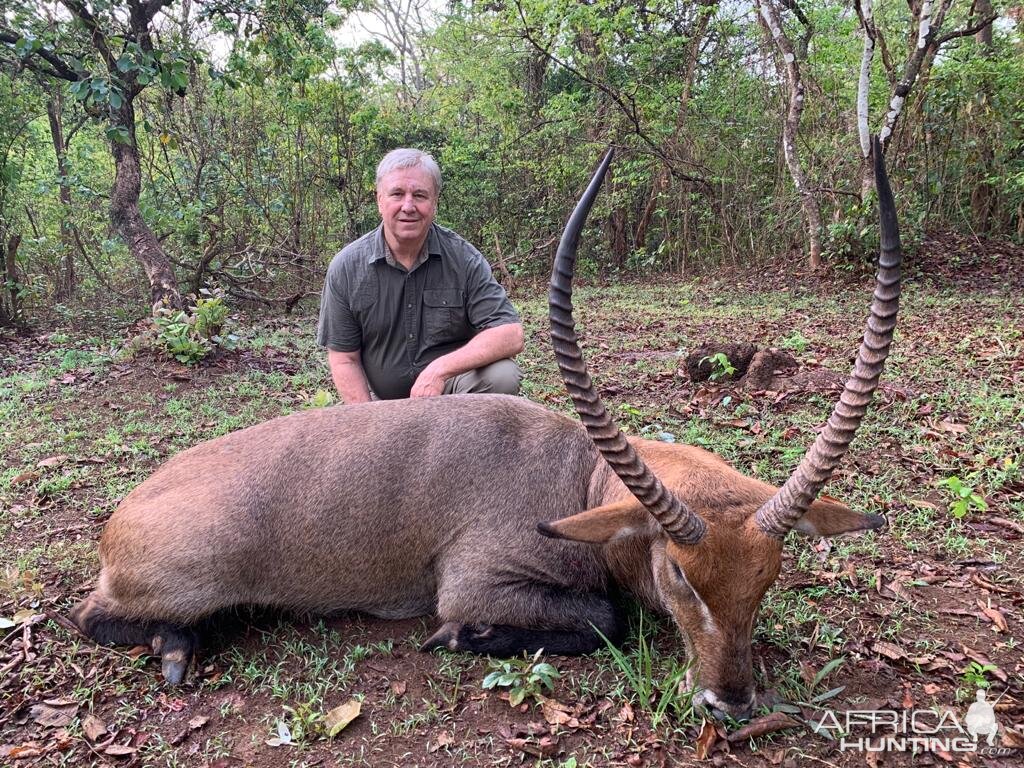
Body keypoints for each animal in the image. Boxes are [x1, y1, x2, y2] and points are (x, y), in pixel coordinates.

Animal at [70, 141, 905, 724]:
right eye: (678, 574)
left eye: (768, 577)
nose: (729, 702)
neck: (578, 479)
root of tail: (122, 515)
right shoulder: (477, 581)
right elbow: (603, 619)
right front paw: (461, 638)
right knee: (92, 618)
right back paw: (178, 646)